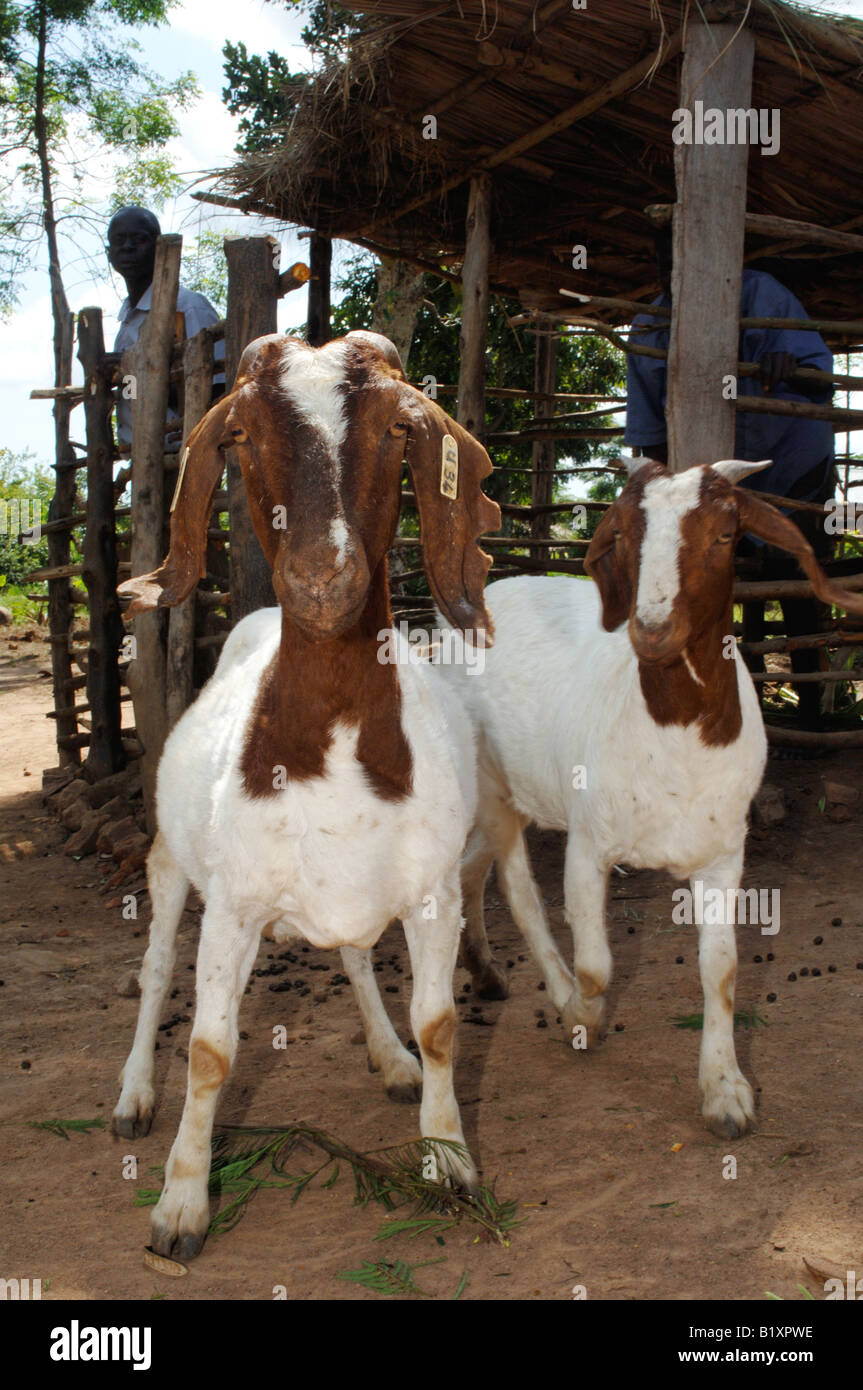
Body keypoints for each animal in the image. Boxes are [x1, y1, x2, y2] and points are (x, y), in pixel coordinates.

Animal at [111, 330, 500, 1259]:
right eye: (240, 435)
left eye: (398, 428)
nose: (323, 579)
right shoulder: (234, 905)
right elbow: (209, 1049)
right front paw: (180, 1207)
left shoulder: (434, 894)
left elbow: (440, 1024)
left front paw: (449, 1160)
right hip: (170, 859)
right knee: (153, 967)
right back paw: (133, 1096)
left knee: (355, 956)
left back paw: (388, 1060)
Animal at [446, 456, 863, 1138]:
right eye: (623, 537)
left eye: (726, 535)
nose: (653, 631)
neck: (675, 735)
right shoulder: (589, 845)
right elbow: (597, 963)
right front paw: (581, 1014)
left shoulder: (725, 854)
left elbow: (722, 970)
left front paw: (724, 1090)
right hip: (491, 786)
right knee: (516, 886)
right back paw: (546, 988)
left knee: (473, 869)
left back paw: (483, 971)